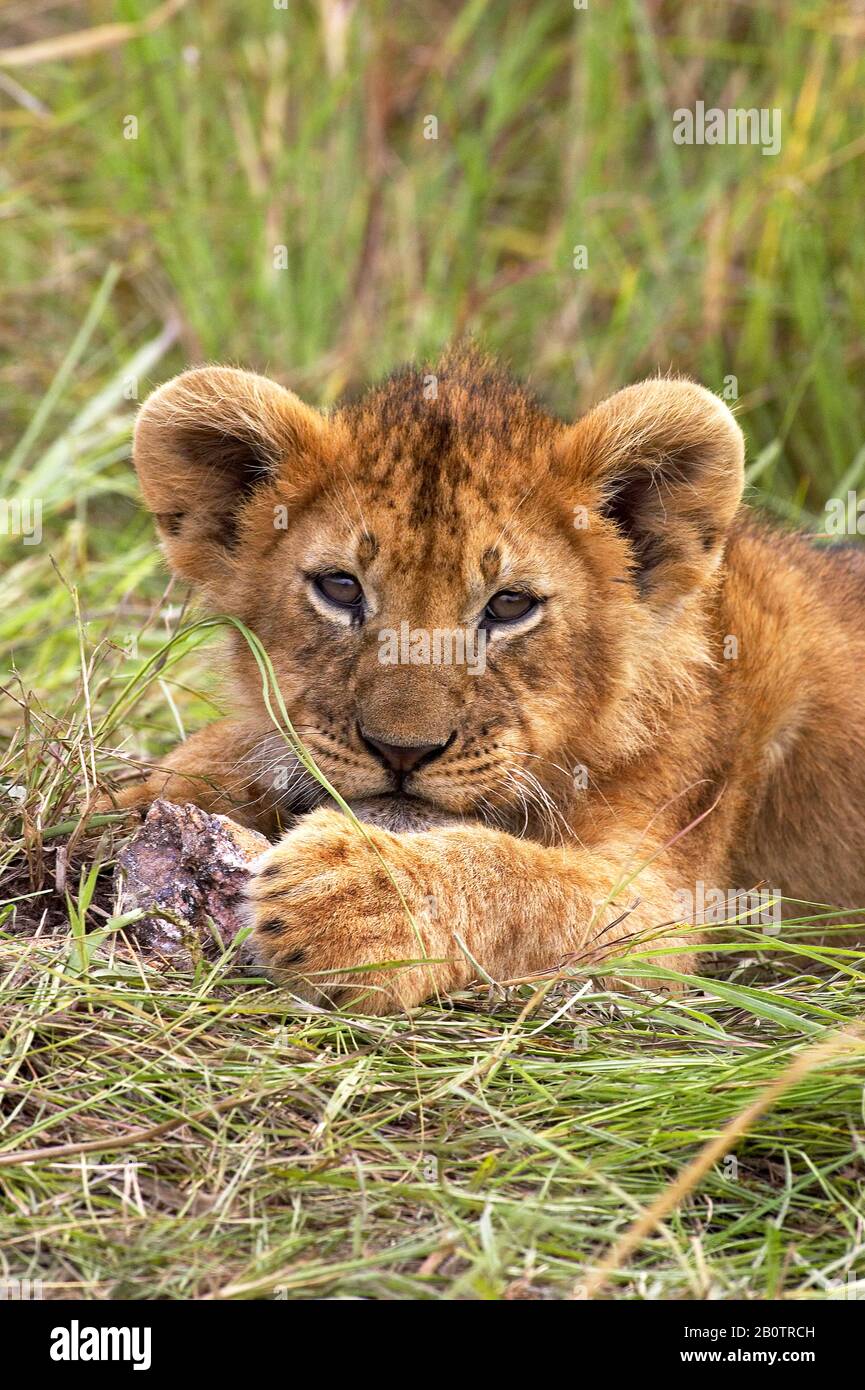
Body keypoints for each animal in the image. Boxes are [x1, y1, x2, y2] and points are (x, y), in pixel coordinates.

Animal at [106, 347, 865, 1012]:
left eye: (509, 605)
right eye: (340, 588)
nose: (402, 751)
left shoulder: (665, 905)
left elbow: (528, 884)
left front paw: (354, 900)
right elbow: (220, 754)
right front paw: (112, 802)